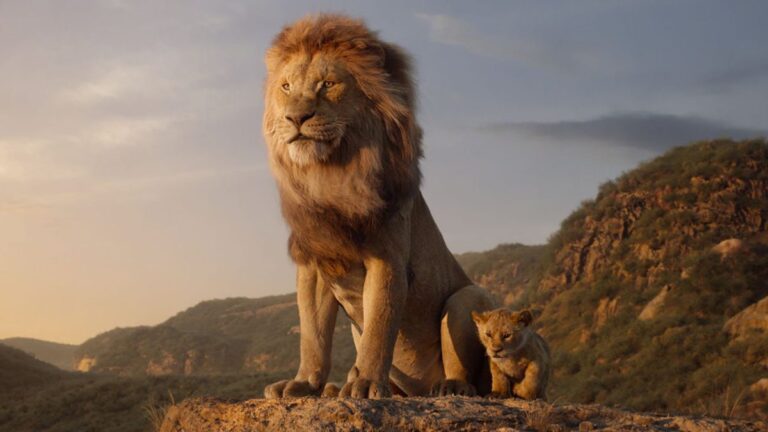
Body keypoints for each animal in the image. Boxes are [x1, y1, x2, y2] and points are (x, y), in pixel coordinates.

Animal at [261, 14, 499, 399]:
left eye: (328, 84)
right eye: (286, 87)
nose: (295, 118)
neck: (331, 175)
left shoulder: (387, 257)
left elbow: (379, 326)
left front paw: (367, 383)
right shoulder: (315, 263)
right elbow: (313, 335)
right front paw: (304, 383)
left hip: (467, 297)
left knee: (467, 370)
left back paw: (449, 387)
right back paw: (336, 388)